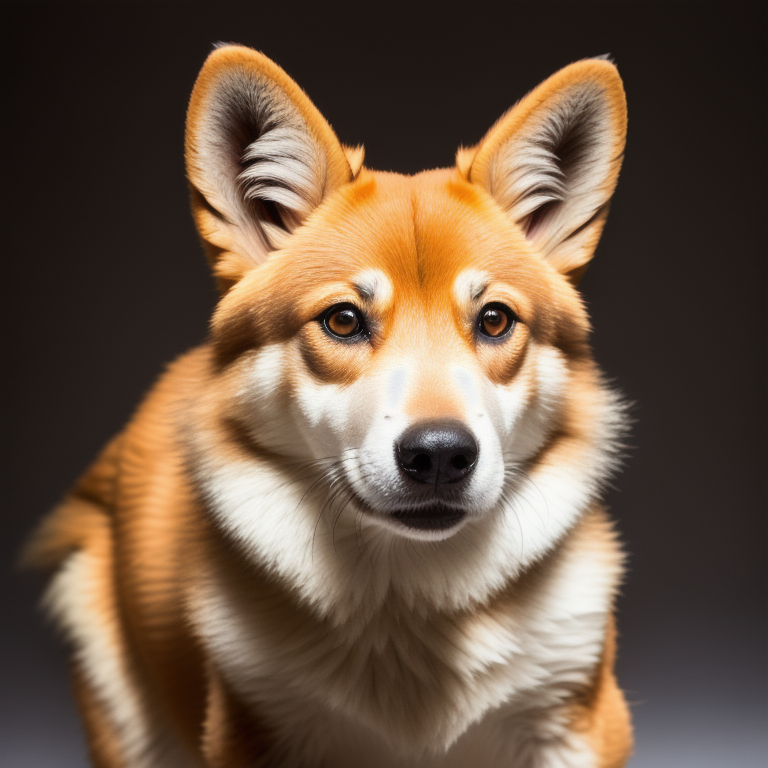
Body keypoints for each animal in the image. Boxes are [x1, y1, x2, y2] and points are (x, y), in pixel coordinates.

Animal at [27, 43, 632, 768]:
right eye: (343, 320)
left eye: (494, 320)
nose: (439, 456)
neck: (410, 602)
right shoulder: (252, 730)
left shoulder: (579, 721)